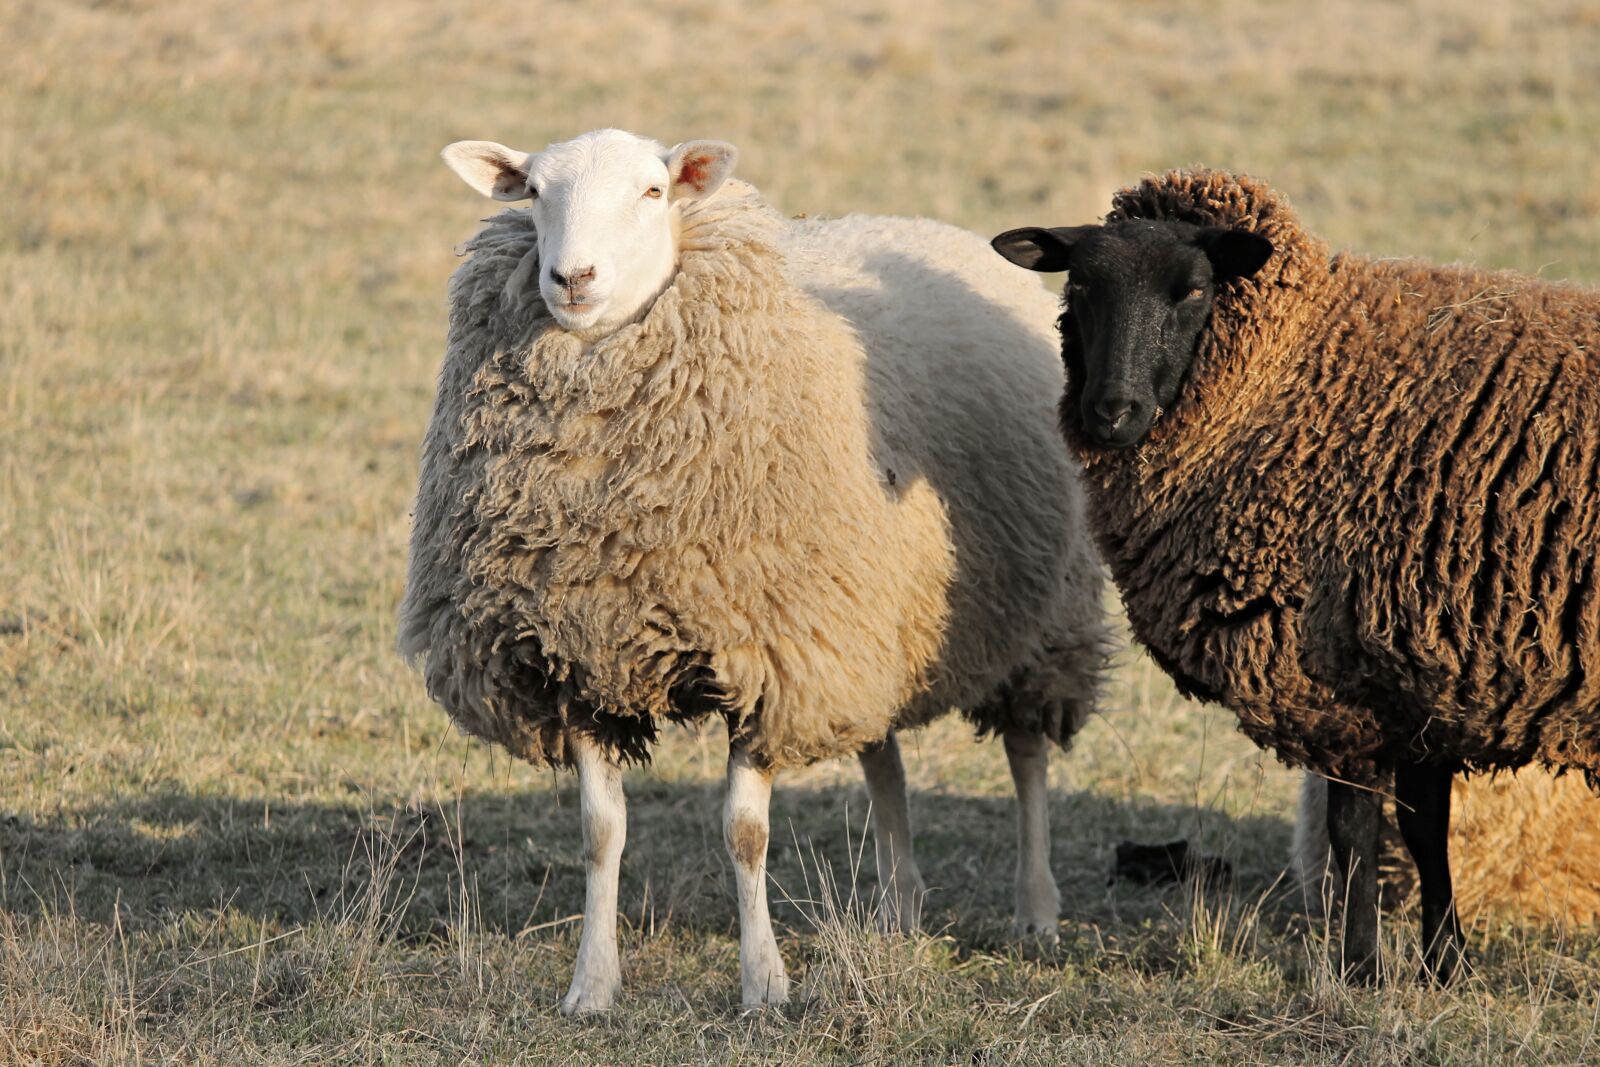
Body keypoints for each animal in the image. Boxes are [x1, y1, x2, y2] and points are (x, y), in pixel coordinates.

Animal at [399, 128, 1107, 1012]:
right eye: (532, 192)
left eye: (653, 191)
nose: (573, 278)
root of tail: (924, 223)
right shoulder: (579, 656)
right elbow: (600, 833)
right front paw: (592, 984)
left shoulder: (771, 657)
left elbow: (745, 832)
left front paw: (764, 983)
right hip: (865, 619)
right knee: (882, 753)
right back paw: (898, 908)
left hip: (1044, 614)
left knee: (1026, 752)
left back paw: (1036, 907)